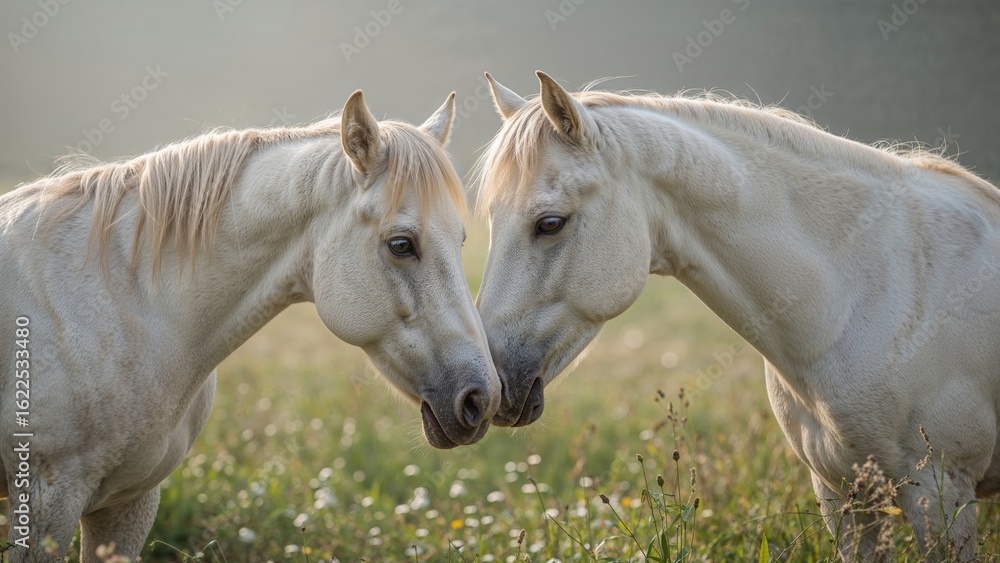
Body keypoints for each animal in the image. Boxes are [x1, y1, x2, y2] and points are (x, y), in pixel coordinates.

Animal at [0, 90, 500, 561]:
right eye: (401, 244)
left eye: (461, 240)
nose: (482, 399)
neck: (127, 303)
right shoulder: (49, 499)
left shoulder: (130, 503)